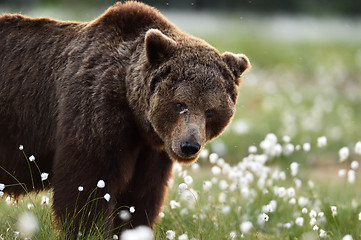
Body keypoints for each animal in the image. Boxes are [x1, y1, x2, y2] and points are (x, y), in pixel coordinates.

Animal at [0, 0, 248, 238]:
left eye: (210, 110)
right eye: (180, 104)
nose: (189, 145)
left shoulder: (151, 149)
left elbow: (141, 195)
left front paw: (132, 229)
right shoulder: (95, 110)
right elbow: (86, 185)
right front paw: (87, 230)